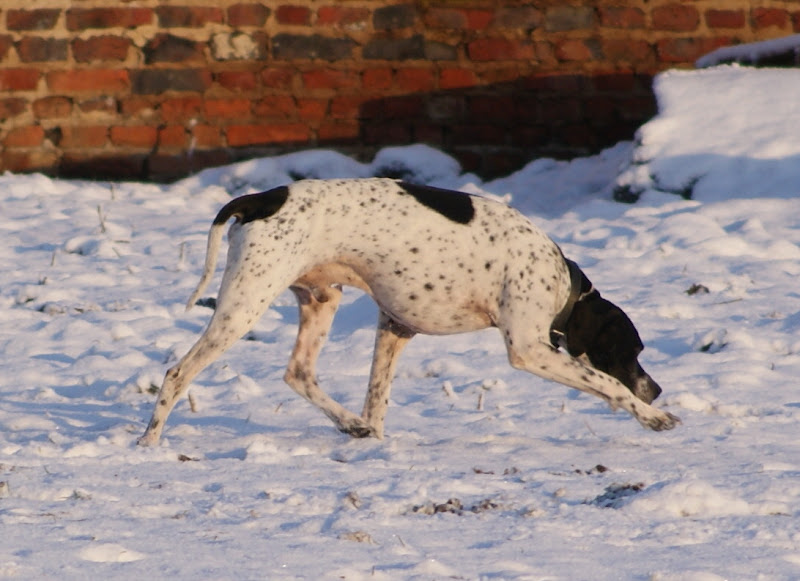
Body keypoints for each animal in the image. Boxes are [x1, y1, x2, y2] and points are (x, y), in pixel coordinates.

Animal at [136, 177, 676, 444]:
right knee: (177, 373)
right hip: (246, 303)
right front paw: (653, 417)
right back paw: (150, 444)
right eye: (632, 351)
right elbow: (607, 384)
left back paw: (350, 426)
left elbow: (377, 400)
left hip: (322, 299)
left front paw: (373, 439)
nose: (656, 388)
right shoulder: (528, 348)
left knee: (298, 373)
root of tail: (261, 198)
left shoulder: (395, 328)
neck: (562, 282)